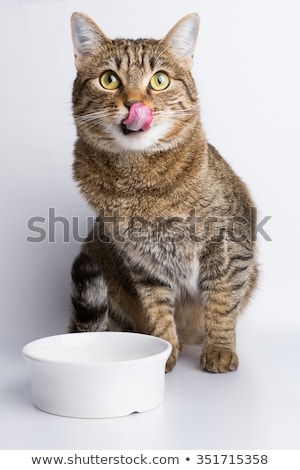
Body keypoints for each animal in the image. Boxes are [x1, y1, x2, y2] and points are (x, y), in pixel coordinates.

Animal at [68, 11, 258, 372]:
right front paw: (165, 350)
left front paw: (220, 348)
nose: (135, 104)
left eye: (159, 81)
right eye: (109, 80)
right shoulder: (142, 262)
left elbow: (223, 300)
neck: (139, 181)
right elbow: (156, 308)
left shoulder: (230, 244)